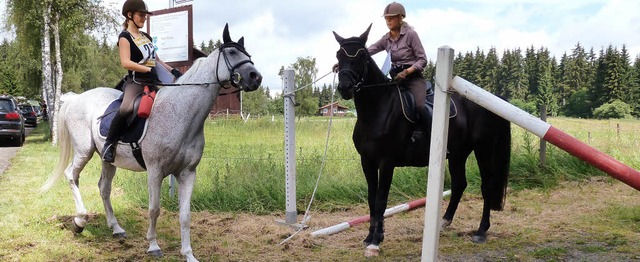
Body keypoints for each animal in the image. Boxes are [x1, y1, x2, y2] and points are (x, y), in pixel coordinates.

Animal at [40, 23, 262, 260]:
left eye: (248, 55)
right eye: (231, 52)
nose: (255, 77)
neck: (180, 113)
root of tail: (75, 98)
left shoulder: (188, 173)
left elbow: (185, 215)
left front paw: (188, 254)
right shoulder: (155, 170)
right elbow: (154, 209)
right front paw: (153, 246)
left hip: (108, 159)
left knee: (104, 188)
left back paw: (116, 228)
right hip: (84, 150)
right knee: (71, 175)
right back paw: (80, 221)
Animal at [332, 25, 512, 255]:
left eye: (362, 55)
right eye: (339, 56)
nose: (345, 87)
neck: (378, 109)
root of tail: (495, 99)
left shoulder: (386, 162)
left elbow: (381, 200)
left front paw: (375, 242)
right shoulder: (367, 161)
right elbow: (372, 199)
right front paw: (369, 236)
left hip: (484, 150)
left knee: (487, 185)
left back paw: (481, 231)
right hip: (458, 154)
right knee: (459, 184)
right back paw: (444, 222)